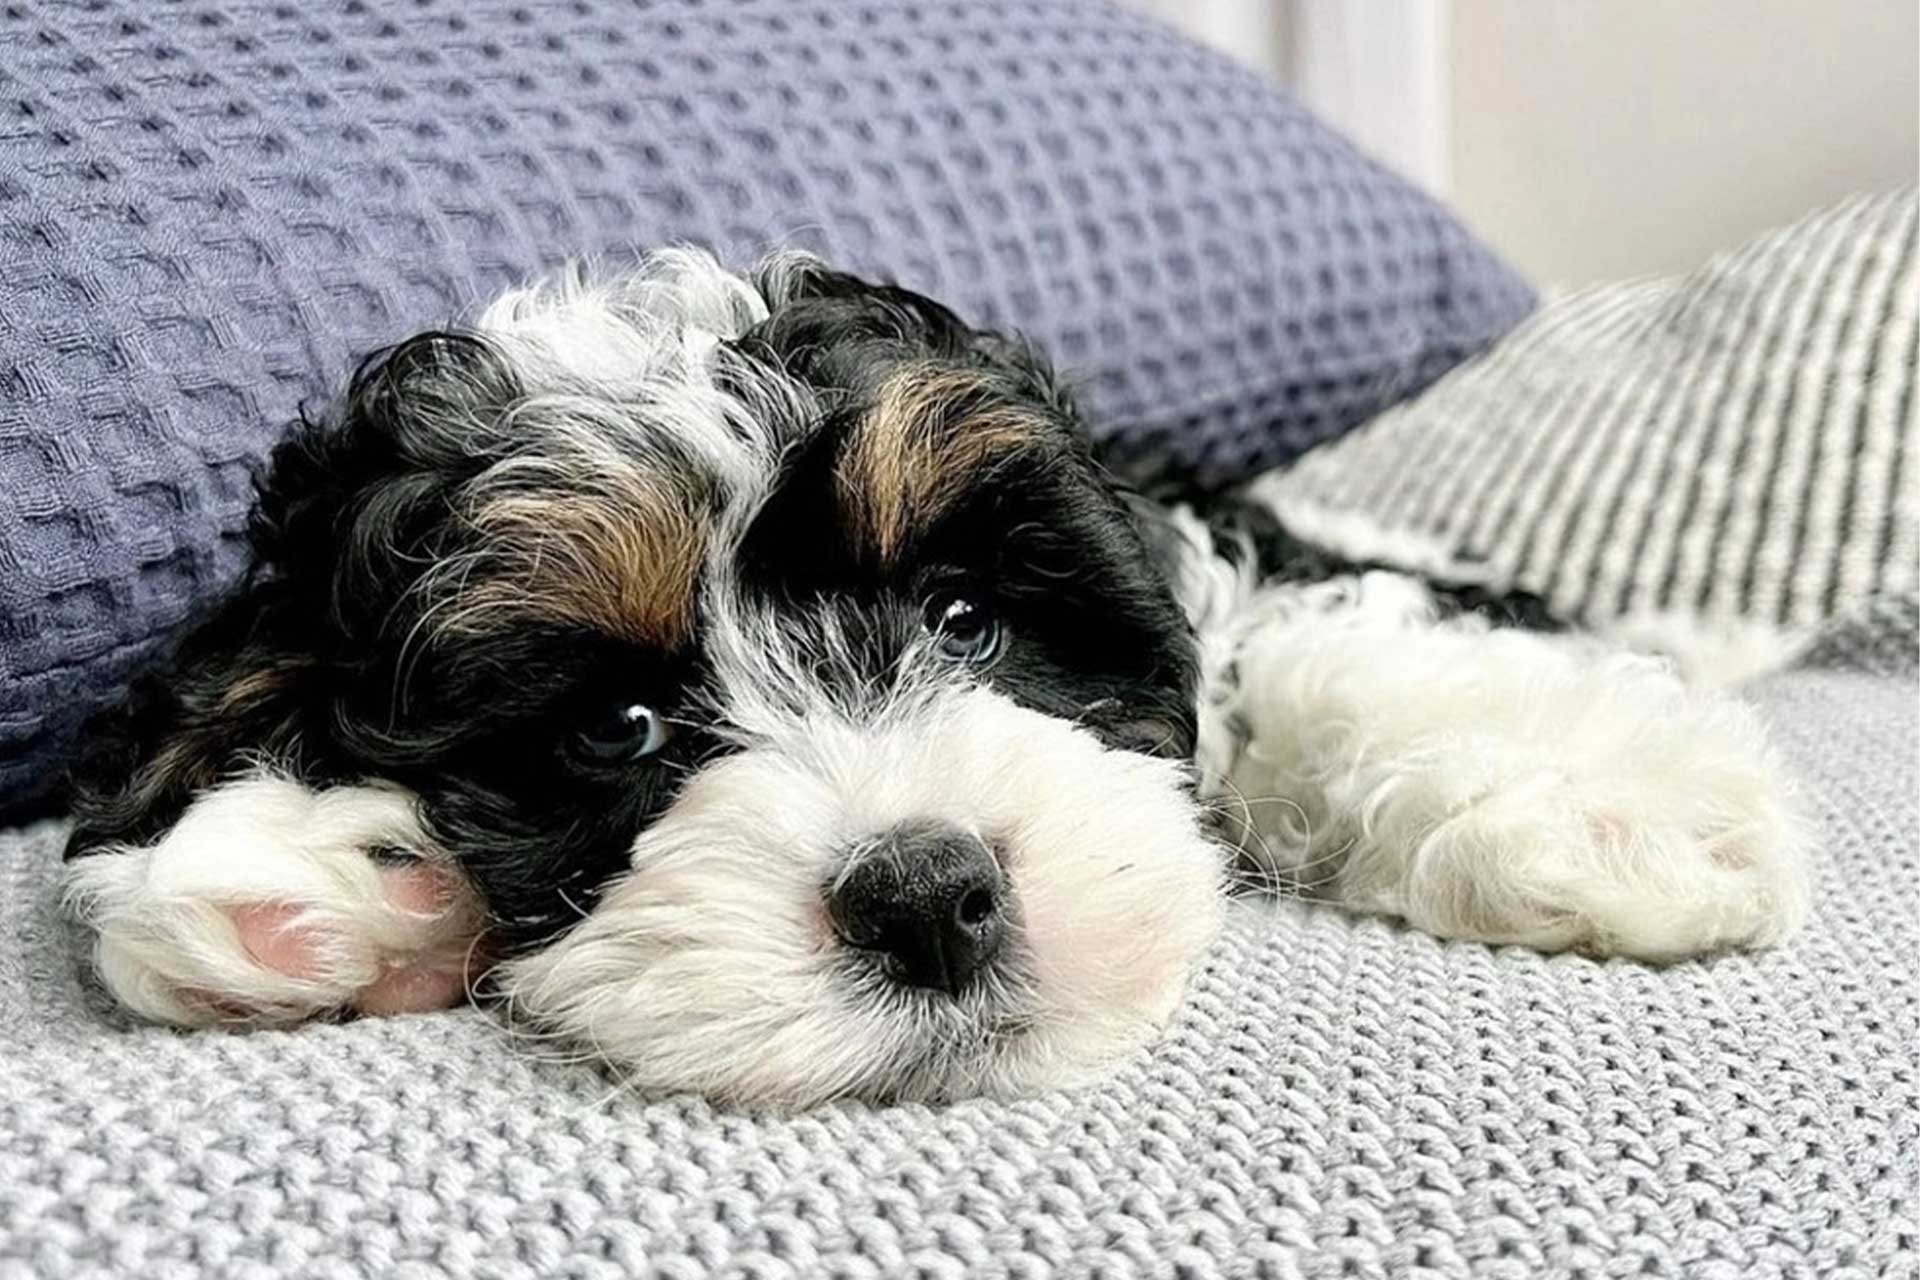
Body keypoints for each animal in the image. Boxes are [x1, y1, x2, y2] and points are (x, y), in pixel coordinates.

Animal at [56, 253, 1797, 1113]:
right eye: (617, 728)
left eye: (964, 622)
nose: (927, 898)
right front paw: (319, 879)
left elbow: (1284, 645)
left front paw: (1619, 802)